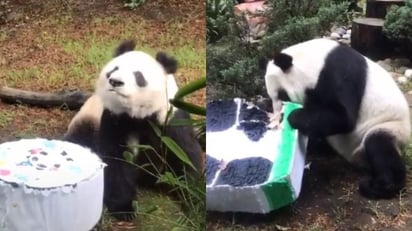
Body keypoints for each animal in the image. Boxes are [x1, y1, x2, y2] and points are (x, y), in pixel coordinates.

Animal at [63, 39, 204, 220]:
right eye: (114, 69)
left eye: (139, 76)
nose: (115, 82)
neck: (138, 115)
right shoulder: (114, 119)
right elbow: (116, 159)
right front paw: (125, 209)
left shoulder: (170, 117)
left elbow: (185, 153)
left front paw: (192, 199)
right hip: (88, 120)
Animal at [262, 38, 410, 200]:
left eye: (282, 95)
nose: (278, 115)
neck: (316, 60)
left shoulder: (339, 71)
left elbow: (343, 117)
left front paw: (292, 116)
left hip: (390, 126)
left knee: (379, 145)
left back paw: (378, 186)